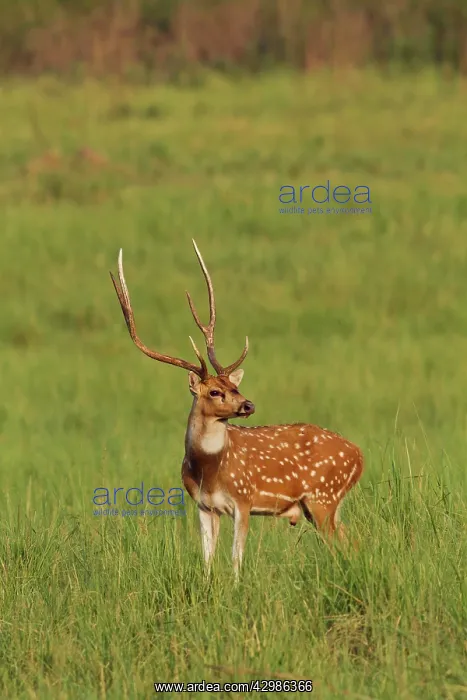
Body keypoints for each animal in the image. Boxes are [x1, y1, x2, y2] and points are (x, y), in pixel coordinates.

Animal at [110, 241, 364, 578]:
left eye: (235, 385)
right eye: (215, 391)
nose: (248, 404)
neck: (210, 470)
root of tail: (359, 457)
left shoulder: (244, 499)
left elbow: (235, 557)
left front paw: (236, 586)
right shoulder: (204, 506)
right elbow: (207, 559)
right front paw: (208, 586)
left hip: (324, 496)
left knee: (348, 542)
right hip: (323, 504)